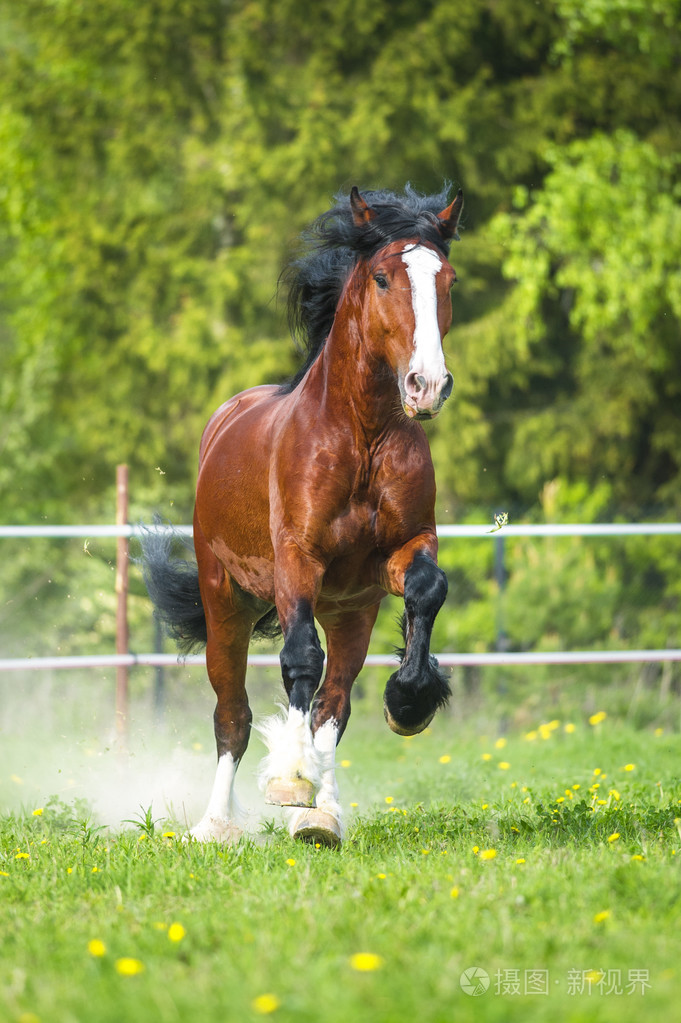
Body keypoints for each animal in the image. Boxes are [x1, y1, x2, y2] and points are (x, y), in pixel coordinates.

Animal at [141, 184, 464, 847]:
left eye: (447, 280)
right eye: (383, 277)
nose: (426, 385)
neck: (361, 437)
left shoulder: (399, 554)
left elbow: (427, 591)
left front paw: (410, 701)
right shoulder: (297, 559)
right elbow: (298, 661)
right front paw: (290, 781)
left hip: (351, 612)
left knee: (334, 701)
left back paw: (323, 817)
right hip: (226, 602)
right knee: (233, 714)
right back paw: (216, 824)